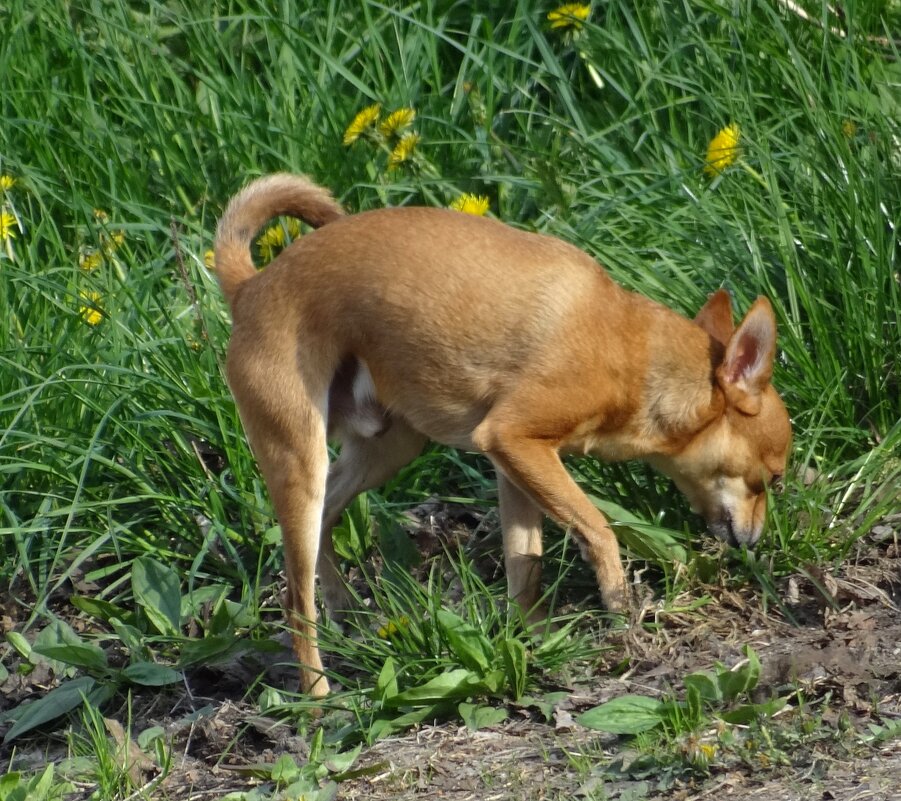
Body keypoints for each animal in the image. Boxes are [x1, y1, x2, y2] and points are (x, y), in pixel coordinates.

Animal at [214, 173, 792, 692]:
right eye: (773, 478)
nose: (756, 541)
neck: (631, 351)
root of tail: (250, 288)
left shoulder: (515, 469)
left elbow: (524, 563)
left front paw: (537, 643)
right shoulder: (515, 442)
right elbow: (599, 531)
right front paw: (620, 615)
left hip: (388, 448)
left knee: (326, 525)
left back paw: (343, 608)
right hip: (300, 461)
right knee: (295, 598)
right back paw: (318, 700)